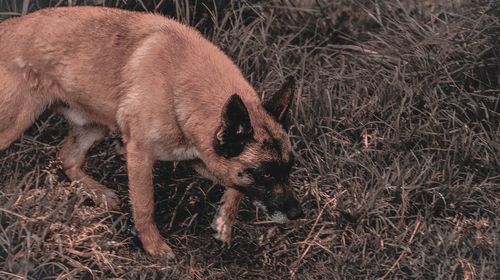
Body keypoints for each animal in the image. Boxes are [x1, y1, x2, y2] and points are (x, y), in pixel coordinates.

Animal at [0, 6, 302, 258]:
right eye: (265, 174)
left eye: (289, 169)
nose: (297, 214)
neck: (180, 86)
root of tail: (7, 26)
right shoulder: (140, 155)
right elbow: (146, 206)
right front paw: (154, 246)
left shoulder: (202, 158)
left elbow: (235, 186)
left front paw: (224, 224)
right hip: (14, 124)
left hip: (94, 126)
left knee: (67, 159)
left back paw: (99, 193)